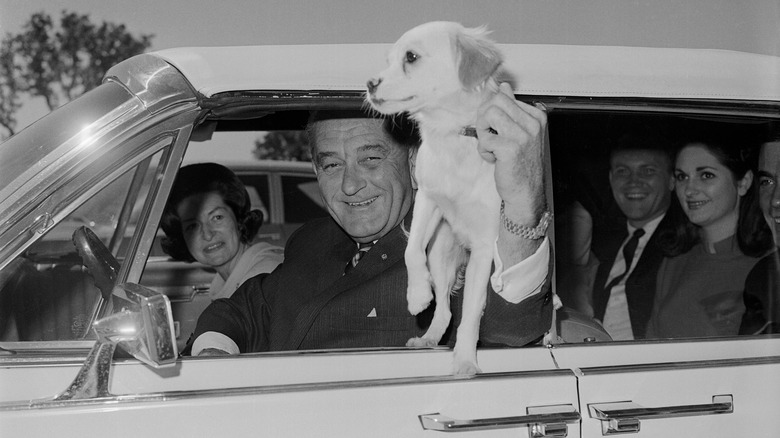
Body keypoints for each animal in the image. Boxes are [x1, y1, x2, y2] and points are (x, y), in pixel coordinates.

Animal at [368, 21, 506, 376]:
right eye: (388, 61)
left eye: (411, 57)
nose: (369, 83)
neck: (451, 134)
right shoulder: (428, 201)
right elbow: (410, 250)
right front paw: (417, 295)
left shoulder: (485, 247)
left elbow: (470, 314)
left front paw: (466, 360)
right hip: (441, 253)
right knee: (443, 307)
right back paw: (428, 336)